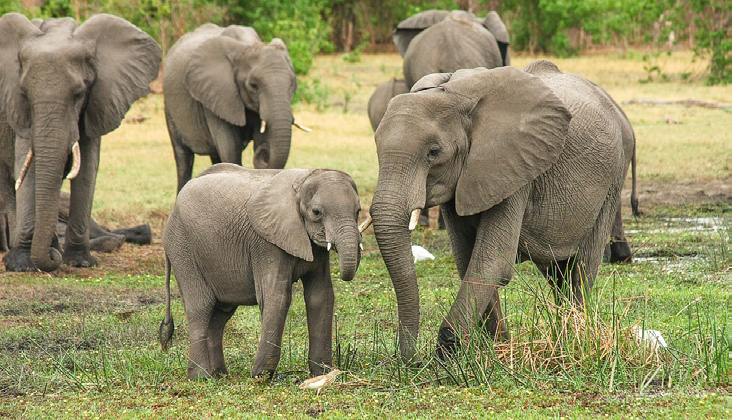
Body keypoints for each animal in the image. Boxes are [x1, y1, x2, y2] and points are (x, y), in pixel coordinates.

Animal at [0, 13, 162, 272]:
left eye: (79, 94)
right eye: (24, 94)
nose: (52, 259)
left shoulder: (97, 101)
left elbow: (87, 169)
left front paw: (80, 262)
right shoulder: (18, 111)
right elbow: (28, 167)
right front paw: (21, 265)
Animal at [162, 23, 308, 193]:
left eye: (292, 84)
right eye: (254, 85)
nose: (264, 152)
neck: (247, 45)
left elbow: (259, 139)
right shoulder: (217, 95)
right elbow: (230, 149)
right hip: (169, 107)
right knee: (183, 158)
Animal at [162, 162, 364, 378]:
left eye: (358, 210)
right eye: (317, 212)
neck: (303, 181)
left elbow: (321, 296)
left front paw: (322, 374)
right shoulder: (266, 243)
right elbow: (277, 296)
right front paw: (261, 376)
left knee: (220, 315)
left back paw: (220, 375)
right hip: (182, 247)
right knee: (200, 307)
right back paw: (201, 377)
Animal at [368, 60, 636, 360]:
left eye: (433, 152)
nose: (412, 360)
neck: (454, 96)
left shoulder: (515, 166)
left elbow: (492, 260)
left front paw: (449, 353)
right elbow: (467, 258)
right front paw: (496, 348)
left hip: (613, 177)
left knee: (582, 266)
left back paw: (574, 339)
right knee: (558, 272)